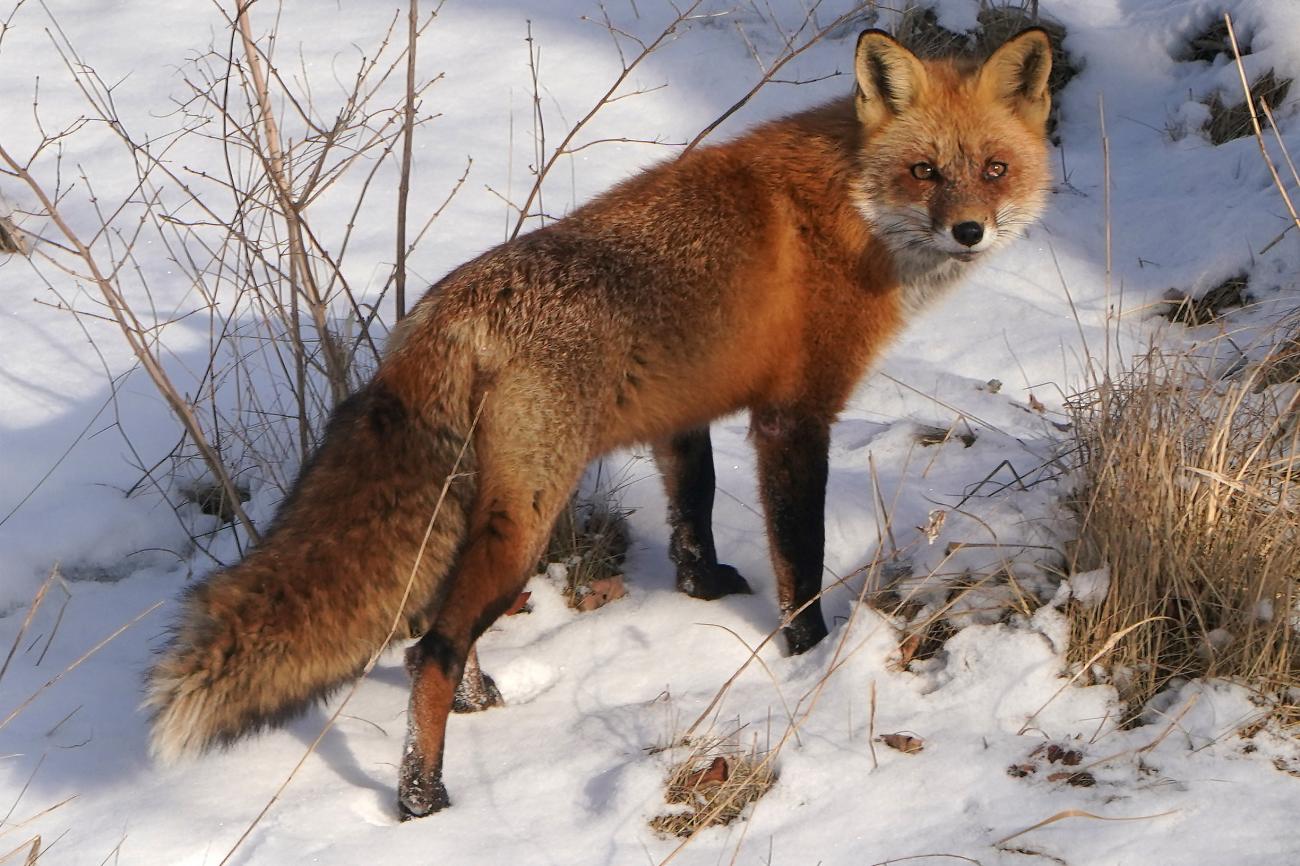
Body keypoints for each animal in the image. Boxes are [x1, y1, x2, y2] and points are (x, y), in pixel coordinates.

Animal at [142, 26, 1055, 816]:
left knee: (434, 630)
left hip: (482, 509)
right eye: (925, 171)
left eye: (995, 168)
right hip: (529, 516)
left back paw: (481, 701)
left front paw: (701, 588)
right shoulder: (794, 417)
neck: (849, 208)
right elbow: (800, 556)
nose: (969, 230)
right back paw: (422, 797)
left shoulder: (681, 410)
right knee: (427, 649)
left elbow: (693, 512)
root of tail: (448, 312)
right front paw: (810, 654)